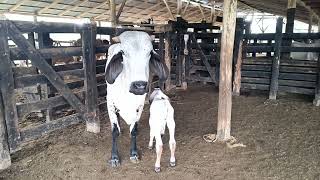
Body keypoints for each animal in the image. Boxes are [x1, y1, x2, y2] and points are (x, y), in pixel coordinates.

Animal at [106, 31, 169, 167]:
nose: (139, 85)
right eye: (123, 52)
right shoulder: (110, 104)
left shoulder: (139, 106)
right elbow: (114, 131)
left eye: (150, 52)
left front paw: (134, 153)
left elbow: (133, 130)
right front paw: (114, 157)